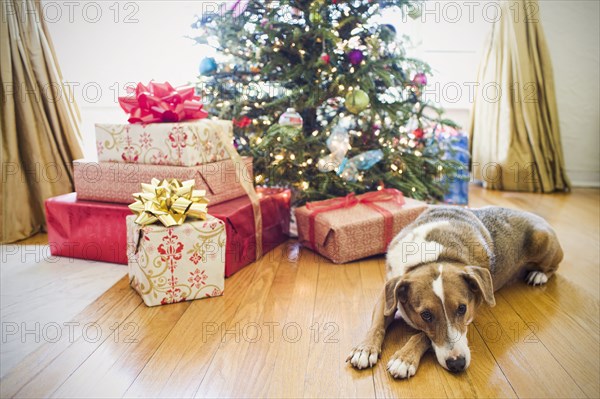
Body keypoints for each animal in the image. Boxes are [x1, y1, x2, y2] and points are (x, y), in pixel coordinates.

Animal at [346, 208, 564, 380]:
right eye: (426, 315)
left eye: (462, 309)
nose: (457, 364)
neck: (431, 257)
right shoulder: (388, 293)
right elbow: (377, 325)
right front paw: (365, 349)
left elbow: (422, 335)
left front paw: (404, 358)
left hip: (542, 241)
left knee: (553, 267)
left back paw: (538, 275)